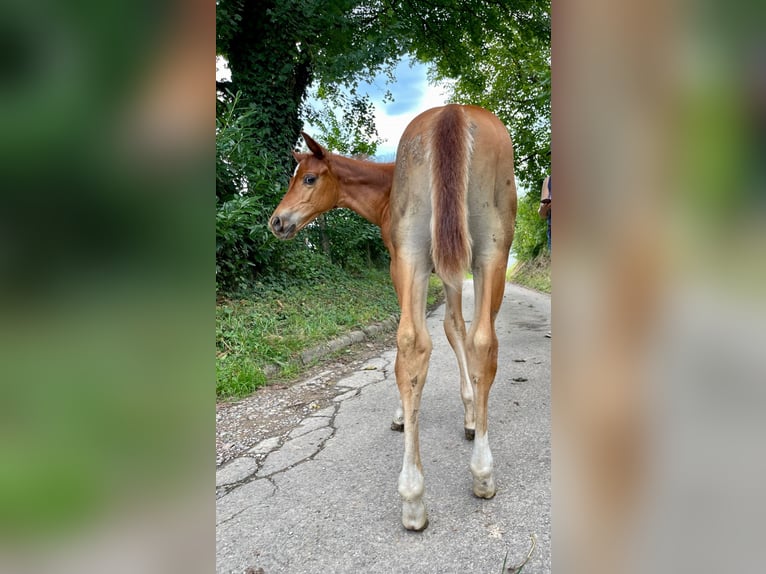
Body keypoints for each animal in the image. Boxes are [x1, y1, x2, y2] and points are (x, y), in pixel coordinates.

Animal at [270, 104, 517, 531]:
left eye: (309, 178)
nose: (277, 222)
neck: (384, 193)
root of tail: (452, 112)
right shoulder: (443, 267)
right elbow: (453, 330)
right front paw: (469, 415)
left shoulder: (400, 264)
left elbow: (441, 334)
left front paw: (414, 414)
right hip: (483, 252)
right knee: (470, 341)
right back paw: (442, 486)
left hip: (450, 255)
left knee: (441, 343)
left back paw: (442, 488)